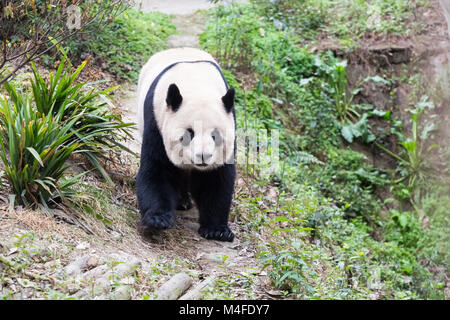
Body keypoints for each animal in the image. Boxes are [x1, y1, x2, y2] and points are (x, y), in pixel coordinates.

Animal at [136, 47, 236, 241]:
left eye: (215, 135)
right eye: (189, 133)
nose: (203, 156)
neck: (196, 84)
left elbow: (215, 179)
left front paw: (217, 230)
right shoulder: (156, 122)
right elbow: (157, 170)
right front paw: (158, 219)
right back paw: (182, 201)